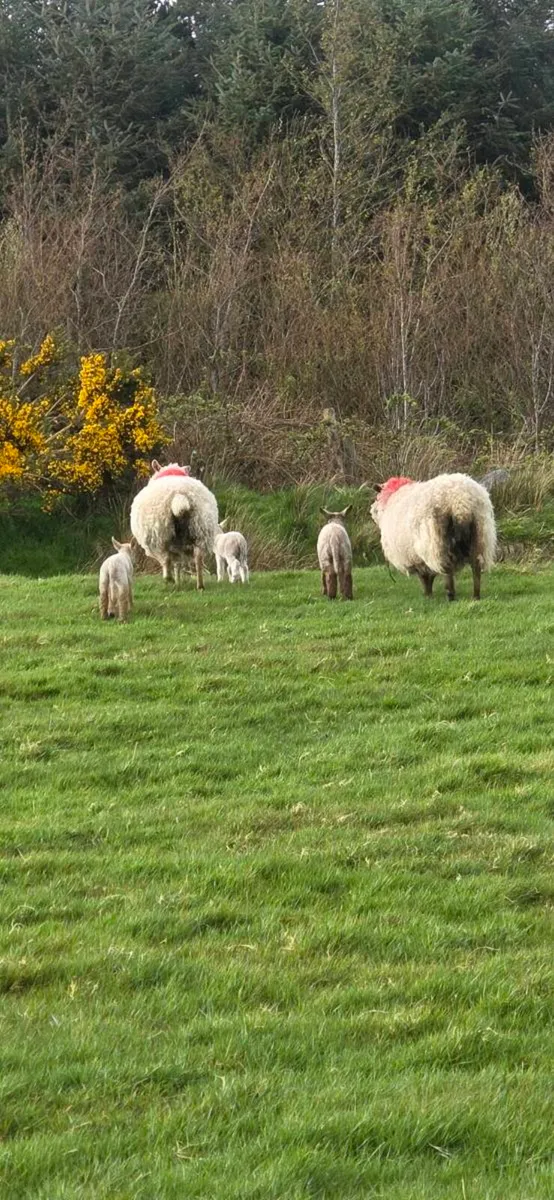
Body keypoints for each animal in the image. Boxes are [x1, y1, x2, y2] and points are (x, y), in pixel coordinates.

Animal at [130, 460, 219, 590]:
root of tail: (179, 495)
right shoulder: (179, 544)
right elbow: (178, 563)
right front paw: (178, 581)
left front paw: (175, 580)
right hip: (201, 528)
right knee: (198, 557)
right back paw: (200, 585)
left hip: (160, 533)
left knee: (166, 558)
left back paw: (168, 579)